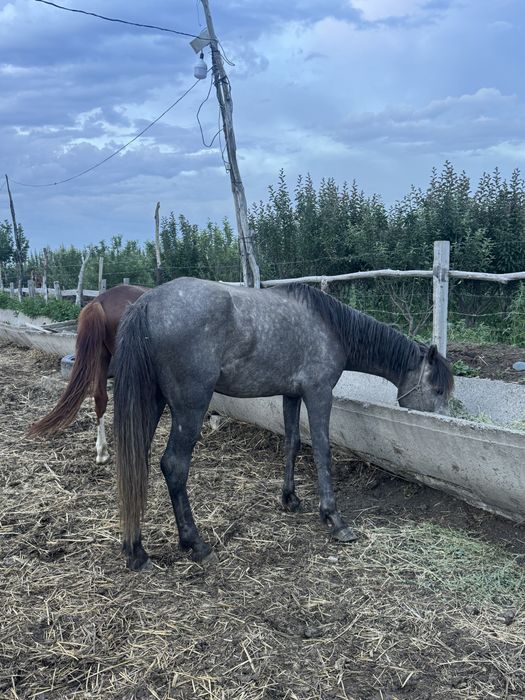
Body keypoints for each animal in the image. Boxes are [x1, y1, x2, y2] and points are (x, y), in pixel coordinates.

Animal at [113, 277, 454, 571]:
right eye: (437, 389)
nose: (444, 421)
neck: (328, 325)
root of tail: (145, 304)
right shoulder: (319, 393)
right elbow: (321, 450)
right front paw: (334, 519)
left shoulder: (291, 395)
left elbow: (293, 443)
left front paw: (290, 499)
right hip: (189, 409)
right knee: (174, 465)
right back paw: (196, 544)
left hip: (151, 404)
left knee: (136, 464)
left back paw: (136, 552)